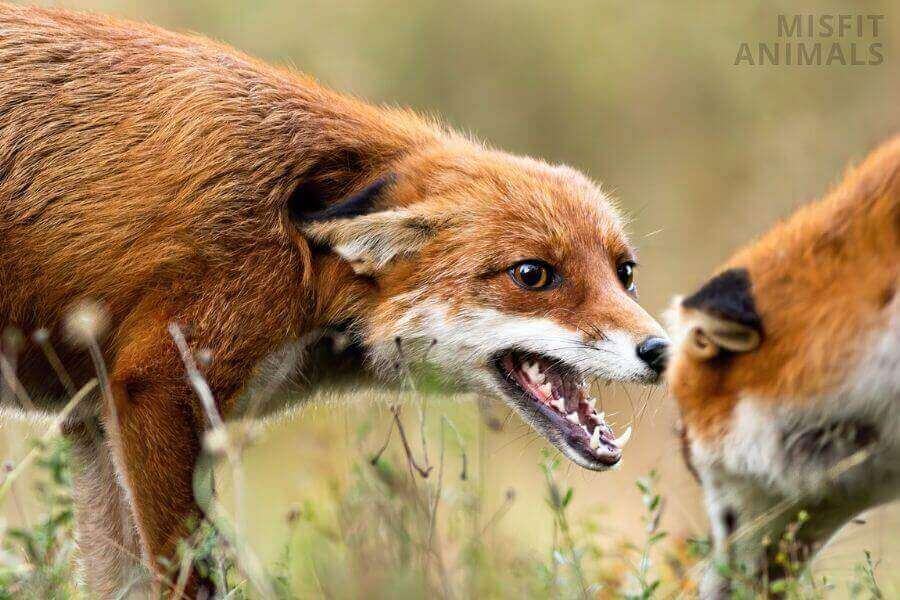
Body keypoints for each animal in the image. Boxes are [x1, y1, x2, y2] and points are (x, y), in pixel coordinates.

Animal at [0, 4, 669, 597]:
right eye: (532, 274)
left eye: (625, 273)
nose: (661, 350)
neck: (299, 251)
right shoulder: (157, 387)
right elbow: (188, 580)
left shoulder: (93, 418)